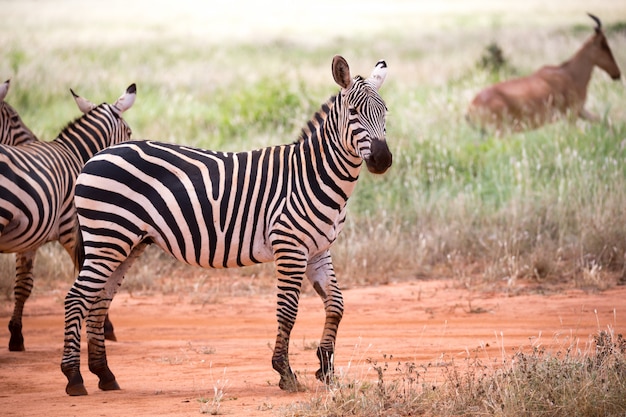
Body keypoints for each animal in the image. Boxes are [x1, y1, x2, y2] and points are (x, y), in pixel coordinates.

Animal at [0, 84, 135, 352]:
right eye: (128, 131)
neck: (74, 154)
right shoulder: (74, 230)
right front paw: (105, 327)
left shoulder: (30, 235)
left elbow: (22, 285)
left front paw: (16, 335)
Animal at [59, 54, 390, 394]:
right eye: (354, 113)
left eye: (385, 112)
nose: (383, 160)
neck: (314, 175)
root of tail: (95, 156)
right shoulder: (290, 247)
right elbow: (287, 311)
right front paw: (285, 372)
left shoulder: (318, 250)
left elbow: (336, 303)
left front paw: (326, 368)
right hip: (108, 237)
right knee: (76, 298)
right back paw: (74, 377)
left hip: (126, 244)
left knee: (98, 300)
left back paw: (104, 374)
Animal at [464, 13, 620, 132]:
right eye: (604, 45)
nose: (617, 73)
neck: (568, 73)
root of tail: (471, 107)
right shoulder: (571, 115)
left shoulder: (581, 111)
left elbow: (604, 120)